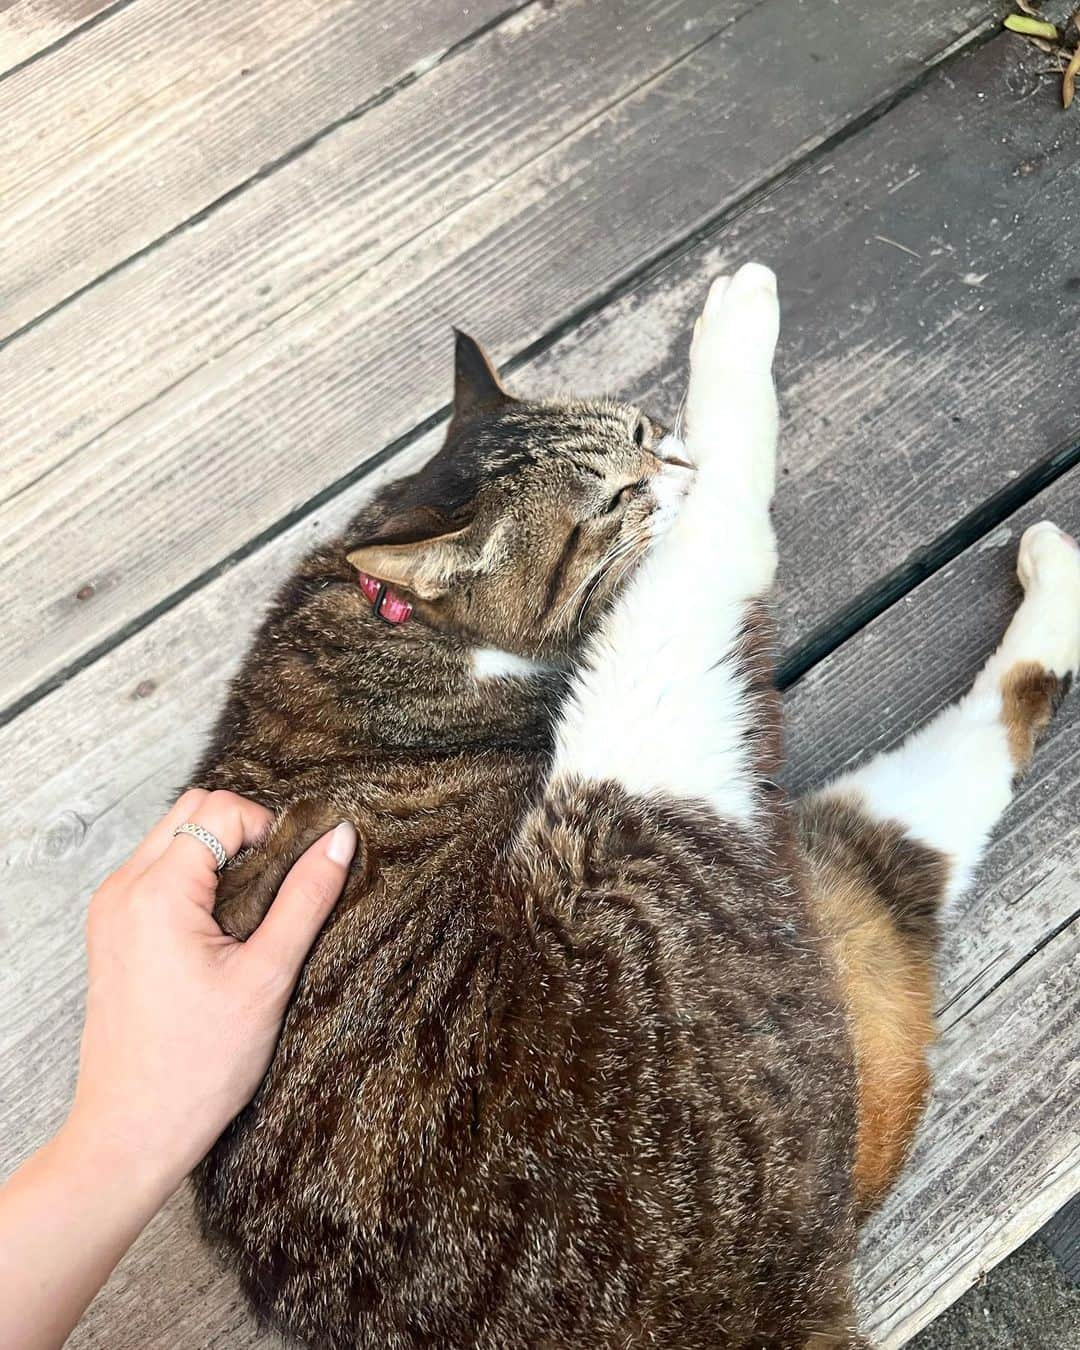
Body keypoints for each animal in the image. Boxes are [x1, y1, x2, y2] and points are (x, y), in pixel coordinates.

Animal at [194, 265, 1080, 1350]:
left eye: (648, 430)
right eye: (616, 496)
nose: (680, 461)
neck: (395, 614)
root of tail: (788, 1298)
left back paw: (1054, 578)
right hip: (642, 792)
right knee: (741, 556)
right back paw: (738, 324)